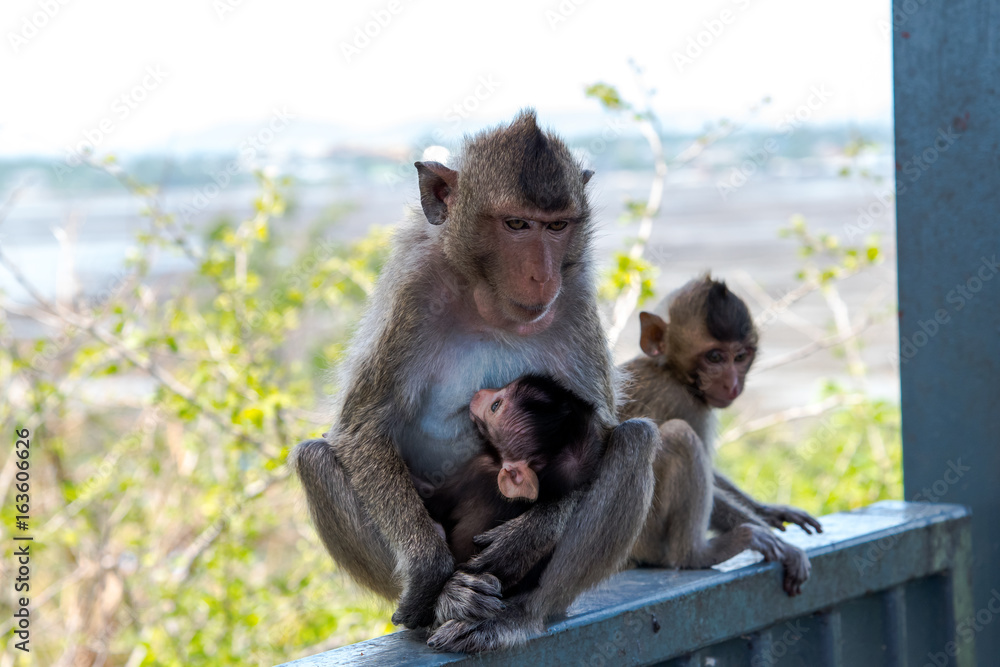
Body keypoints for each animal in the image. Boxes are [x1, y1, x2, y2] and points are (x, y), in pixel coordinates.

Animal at [620, 276, 822, 596]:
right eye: (714, 357)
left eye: (740, 357)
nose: (733, 385)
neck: (671, 371)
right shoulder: (683, 402)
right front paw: (787, 548)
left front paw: (768, 510)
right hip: (643, 537)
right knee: (679, 435)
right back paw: (696, 554)